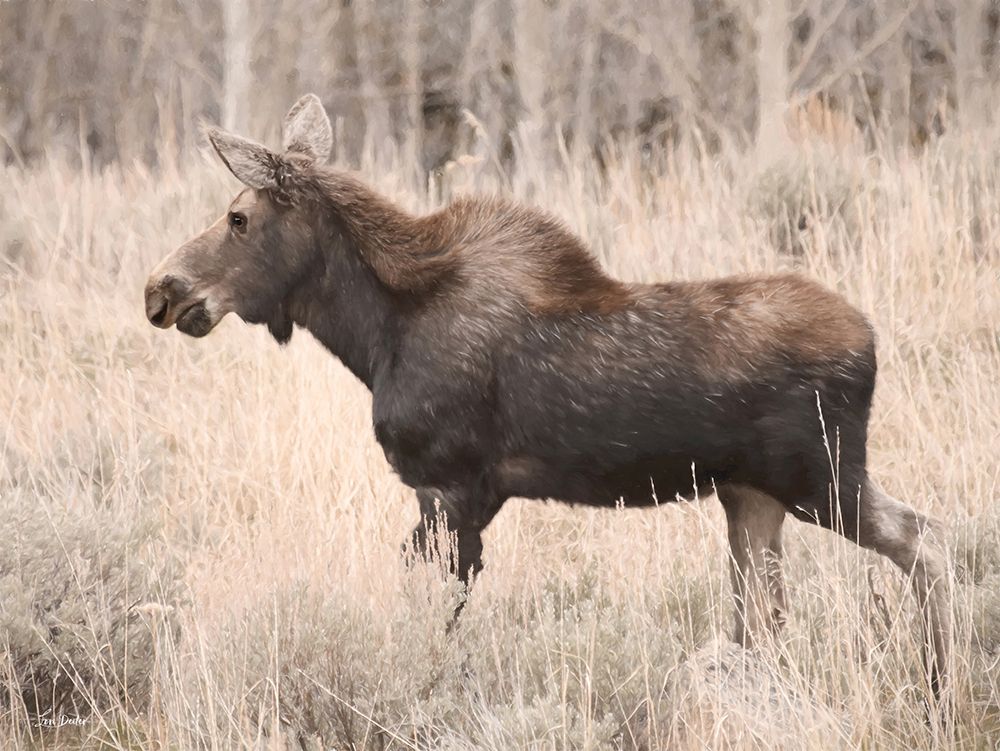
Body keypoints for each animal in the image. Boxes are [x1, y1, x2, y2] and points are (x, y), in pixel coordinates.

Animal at [144, 94, 951, 700]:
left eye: (238, 217)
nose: (162, 289)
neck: (375, 334)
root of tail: (871, 342)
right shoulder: (457, 498)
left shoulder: (448, 487)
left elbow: (436, 621)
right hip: (753, 496)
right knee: (767, 615)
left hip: (822, 478)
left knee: (925, 538)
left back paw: (938, 684)